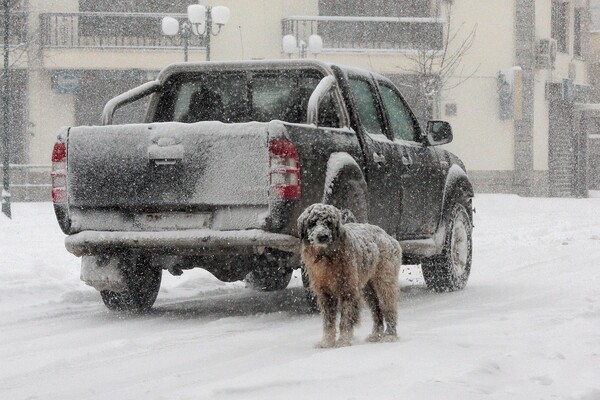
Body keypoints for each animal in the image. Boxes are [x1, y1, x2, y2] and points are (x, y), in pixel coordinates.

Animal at [296, 203, 400, 346]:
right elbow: (328, 322)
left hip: (384, 282)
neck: (327, 256)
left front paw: (343, 341)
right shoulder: (325, 294)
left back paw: (390, 335)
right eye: (312, 223)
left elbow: (345, 319)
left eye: (328, 223)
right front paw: (327, 342)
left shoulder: (348, 290)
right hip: (367, 289)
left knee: (388, 308)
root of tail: (386, 235)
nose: (322, 236)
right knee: (376, 310)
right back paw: (376, 335)